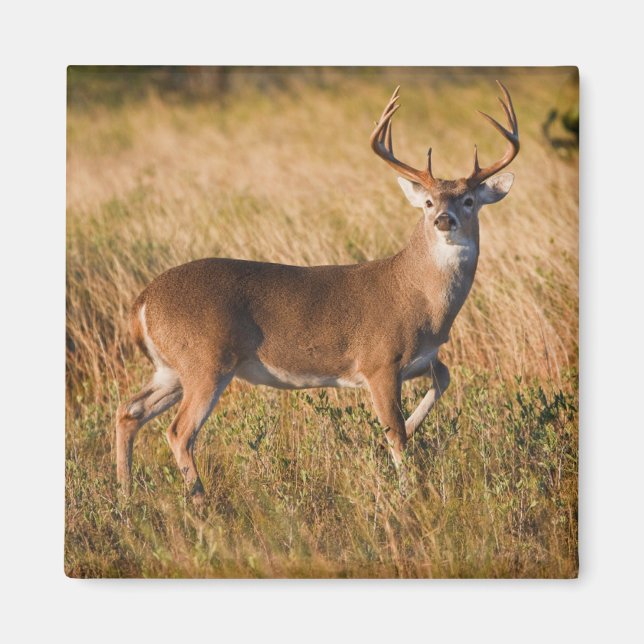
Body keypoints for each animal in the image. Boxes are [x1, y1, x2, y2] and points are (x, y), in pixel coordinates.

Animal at [116, 81, 519, 503]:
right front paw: (408, 494)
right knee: (179, 432)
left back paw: (125, 497)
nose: (444, 219)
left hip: (170, 368)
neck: (420, 298)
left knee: (129, 412)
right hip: (205, 362)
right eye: (427, 201)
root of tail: (142, 302)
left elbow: (443, 379)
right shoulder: (379, 361)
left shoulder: (422, 359)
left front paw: (405, 431)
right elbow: (396, 434)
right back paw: (199, 503)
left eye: (469, 200)